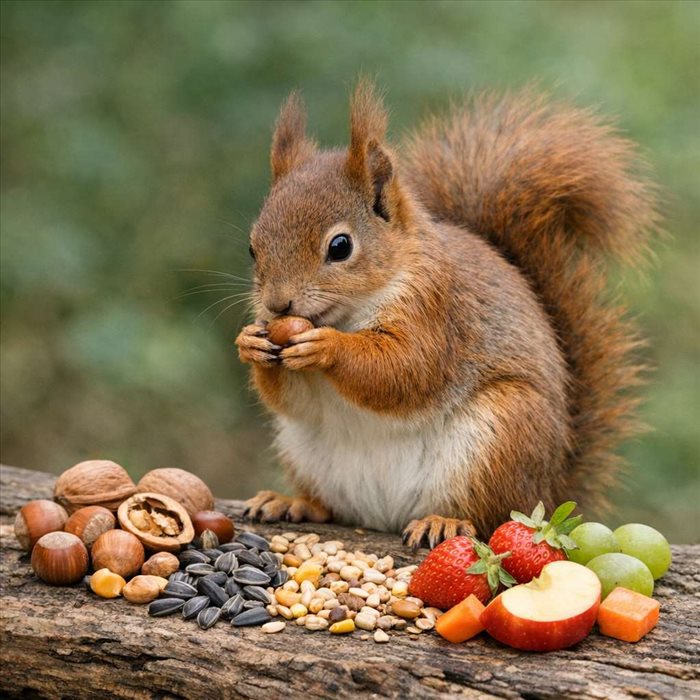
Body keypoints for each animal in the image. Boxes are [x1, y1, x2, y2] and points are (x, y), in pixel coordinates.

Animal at [235, 81, 658, 548]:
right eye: (252, 248)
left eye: (340, 246)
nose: (278, 305)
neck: (348, 313)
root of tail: (547, 493)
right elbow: (290, 398)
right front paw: (249, 342)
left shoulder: (437, 310)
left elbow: (406, 368)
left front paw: (327, 346)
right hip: (304, 451)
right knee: (331, 506)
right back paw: (292, 502)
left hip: (499, 437)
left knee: (486, 514)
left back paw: (446, 521)